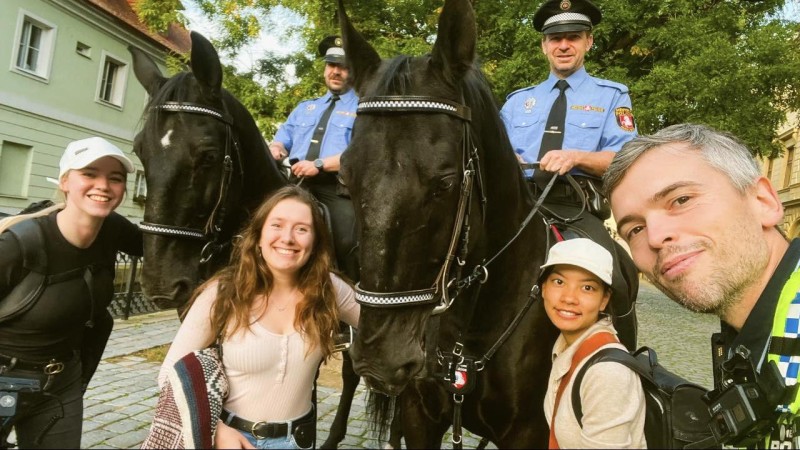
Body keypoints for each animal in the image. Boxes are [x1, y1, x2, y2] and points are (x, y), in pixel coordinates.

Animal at [338, 0, 636, 444]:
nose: (379, 357)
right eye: (345, 176)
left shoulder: (529, 432)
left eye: (445, 182)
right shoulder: (419, 416)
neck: (471, 328)